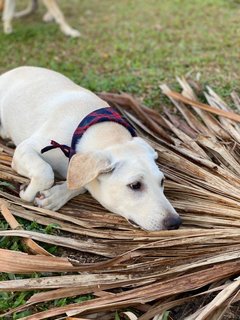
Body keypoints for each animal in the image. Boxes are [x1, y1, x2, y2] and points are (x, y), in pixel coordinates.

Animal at [0, 66, 181, 230]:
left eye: (162, 181)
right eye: (135, 185)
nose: (176, 222)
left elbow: (79, 182)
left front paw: (55, 196)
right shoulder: (27, 148)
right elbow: (45, 172)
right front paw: (27, 193)